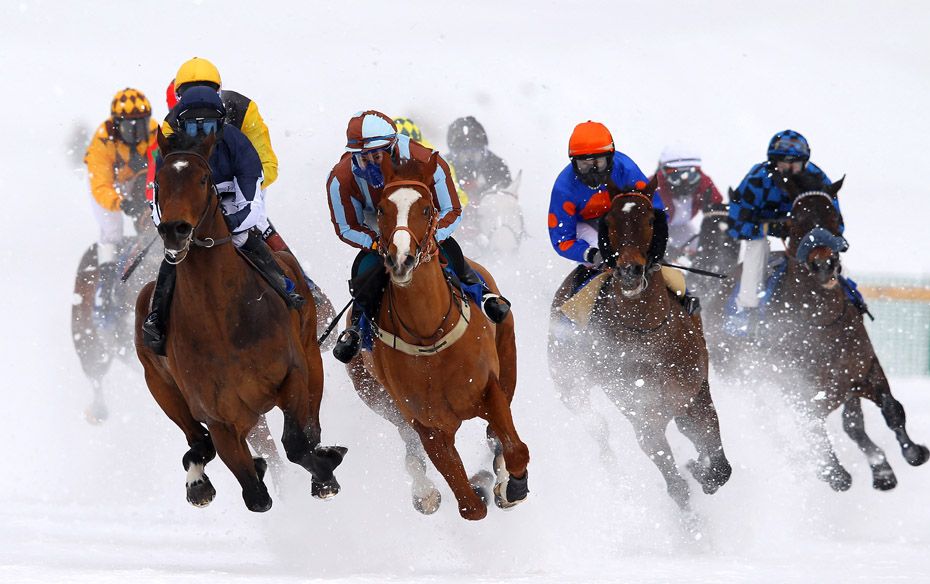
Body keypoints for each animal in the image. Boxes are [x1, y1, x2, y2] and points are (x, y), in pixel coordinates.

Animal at [133, 131, 344, 512]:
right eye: (159, 181)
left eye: (203, 178)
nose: (175, 230)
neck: (220, 321)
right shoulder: (221, 419)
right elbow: (255, 494)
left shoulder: (292, 374)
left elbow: (298, 443)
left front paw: (325, 472)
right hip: (162, 387)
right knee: (198, 443)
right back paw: (199, 482)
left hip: (311, 356)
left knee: (311, 428)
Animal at [342, 154, 528, 520]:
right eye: (382, 209)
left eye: (427, 208)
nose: (401, 259)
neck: (429, 337)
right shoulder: (428, 425)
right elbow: (470, 505)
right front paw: (470, 488)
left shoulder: (489, 389)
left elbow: (514, 448)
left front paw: (509, 486)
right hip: (377, 397)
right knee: (410, 448)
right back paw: (426, 491)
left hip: (508, 358)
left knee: (496, 437)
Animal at [548, 182, 728, 512]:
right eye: (609, 221)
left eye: (650, 220)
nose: (629, 271)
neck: (649, 334)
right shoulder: (644, 419)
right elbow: (676, 486)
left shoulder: (696, 394)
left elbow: (720, 466)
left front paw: (702, 469)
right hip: (570, 384)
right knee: (597, 427)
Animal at [700, 175, 924, 492]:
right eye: (795, 220)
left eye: (834, 216)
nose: (823, 264)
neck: (822, 321)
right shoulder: (801, 392)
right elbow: (817, 435)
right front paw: (834, 473)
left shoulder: (864, 369)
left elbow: (890, 410)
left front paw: (910, 454)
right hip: (742, 377)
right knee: (768, 420)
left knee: (853, 423)